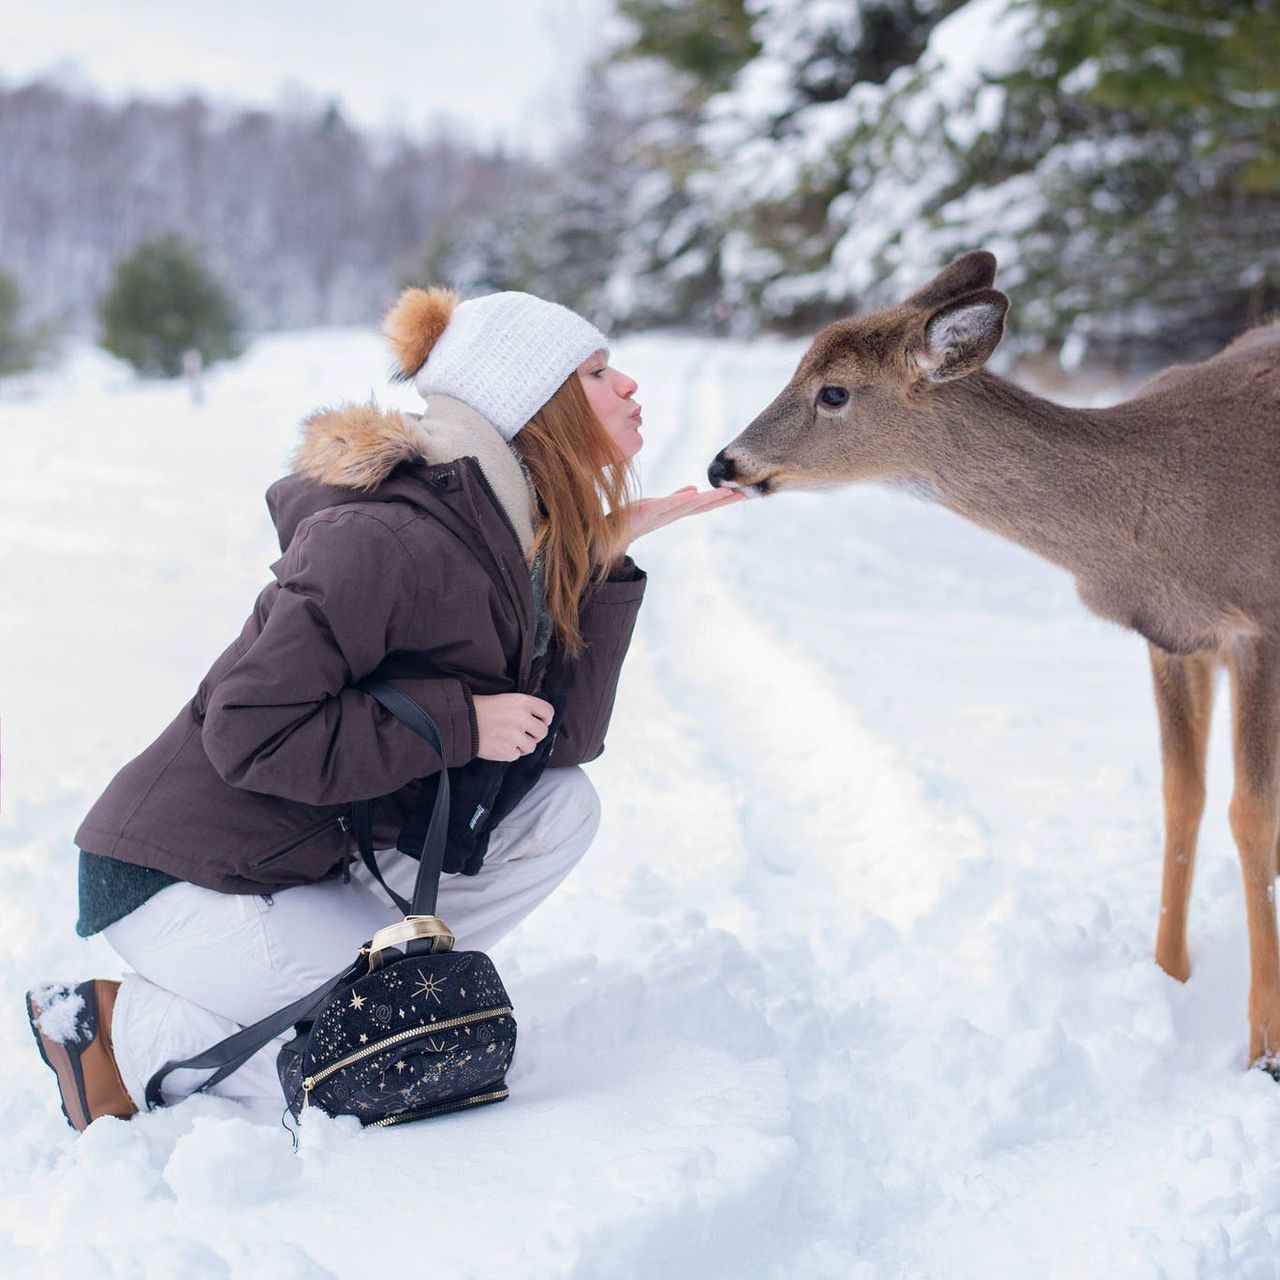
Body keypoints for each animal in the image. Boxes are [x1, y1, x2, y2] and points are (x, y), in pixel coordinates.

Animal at [711, 249, 1280, 1070]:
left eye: (834, 391)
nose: (723, 464)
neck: (1165, 515)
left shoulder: (1260, 622)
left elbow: (1252, 813)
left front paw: (1264, 1048)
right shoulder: (1172, 637)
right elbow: (1183, 795)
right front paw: (1167, 977)